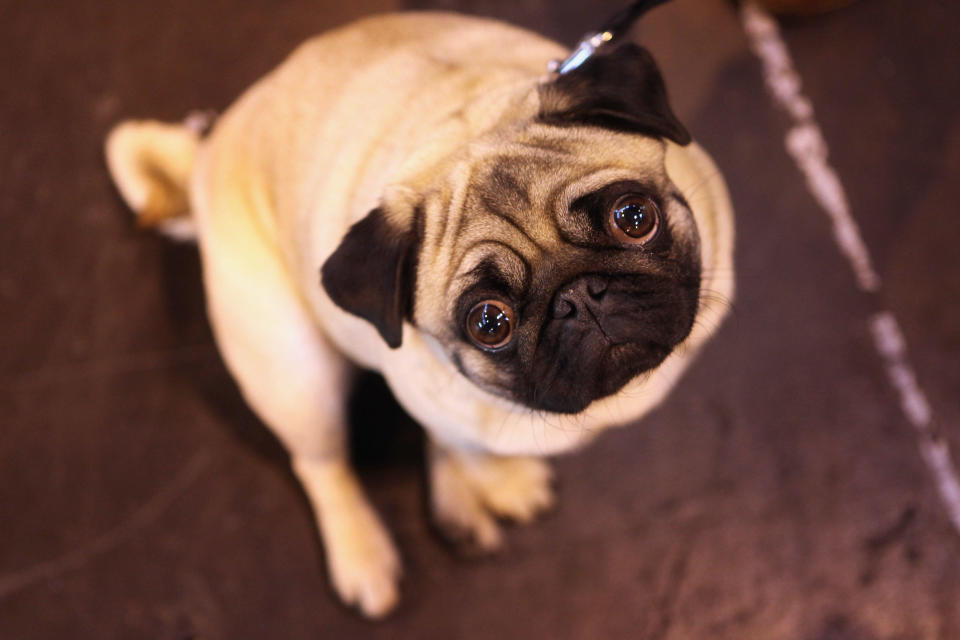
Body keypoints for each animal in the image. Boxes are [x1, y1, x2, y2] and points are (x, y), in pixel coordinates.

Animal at [105, 10, 732, 616]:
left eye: (634, 217)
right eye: (490, 323)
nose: (580, 296)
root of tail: (204, 155)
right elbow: (465, 446)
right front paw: (493, 478)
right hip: (293, 374)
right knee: (322, 464)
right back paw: (363, 552)